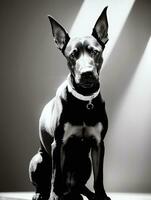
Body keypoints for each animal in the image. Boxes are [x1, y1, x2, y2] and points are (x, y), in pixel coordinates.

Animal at [28, 6, 110, 200]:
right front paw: (54, 196)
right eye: (73, 55)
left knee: (79, 185)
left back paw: (82, 194)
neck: (85, 100)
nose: (87, 73)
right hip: (38, 159)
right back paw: (42, 194)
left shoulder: (98, 145)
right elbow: (56, 175)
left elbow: (99, 177)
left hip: (85, 162)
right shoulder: (59, 144)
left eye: (95, 51)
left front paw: (101, 196)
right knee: (44, 182)